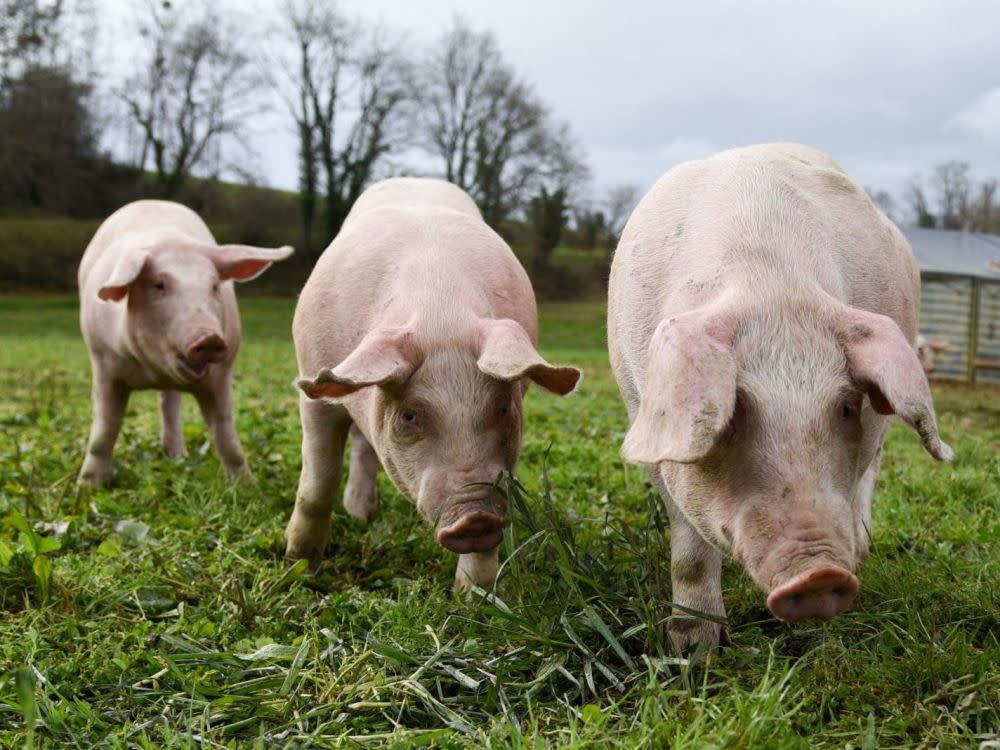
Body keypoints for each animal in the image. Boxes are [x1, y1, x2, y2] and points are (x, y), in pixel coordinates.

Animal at [286, 178, 584, 592]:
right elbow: (319, 480)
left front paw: (475, 596)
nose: (475, 516)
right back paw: (359, 517)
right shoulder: (314, 380)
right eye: (410, 416)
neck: (440, 312)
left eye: (504, 408)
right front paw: (299, 569)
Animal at [608, 144, 952, 656]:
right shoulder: (642, 410)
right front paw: (693, 653)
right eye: (731, 415)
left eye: (845, 406)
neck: (768, 278)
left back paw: (863, 551)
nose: (819, 575)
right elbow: (689, 547)